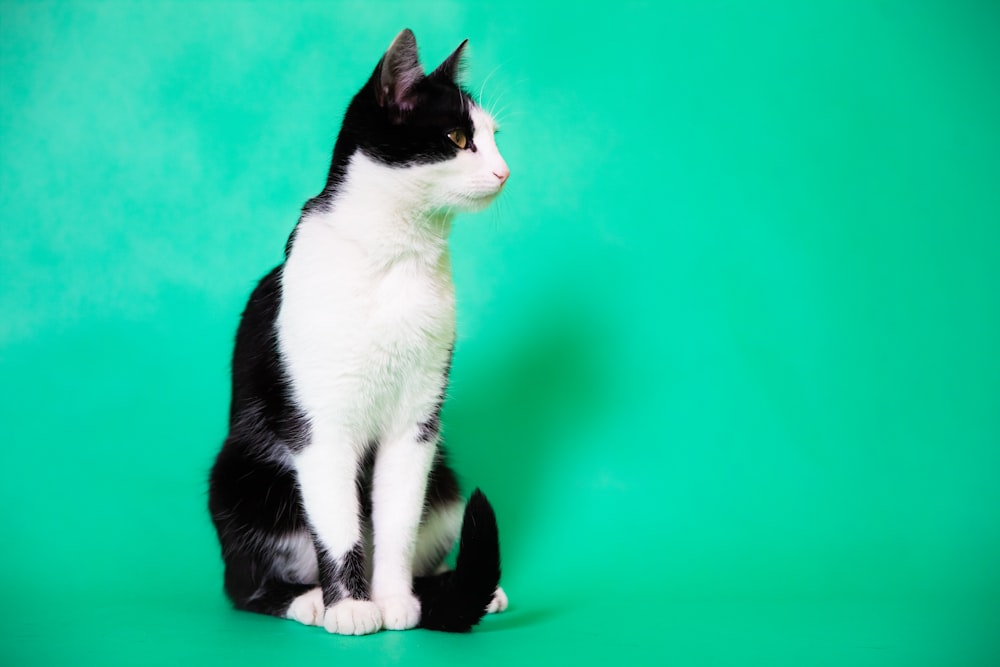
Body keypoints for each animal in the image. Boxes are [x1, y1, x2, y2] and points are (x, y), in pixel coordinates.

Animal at [208, 30, 512, 636]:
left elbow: (396, 522)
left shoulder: (417, 422)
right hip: (238, 479)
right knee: (242, 585)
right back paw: (306, 600)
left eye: (493, 137)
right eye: (458, 137)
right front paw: (348, 605)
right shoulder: (319, 426)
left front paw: (394, 600)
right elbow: (337, 523)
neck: (399, 254)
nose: (505, 170)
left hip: (446, 483)